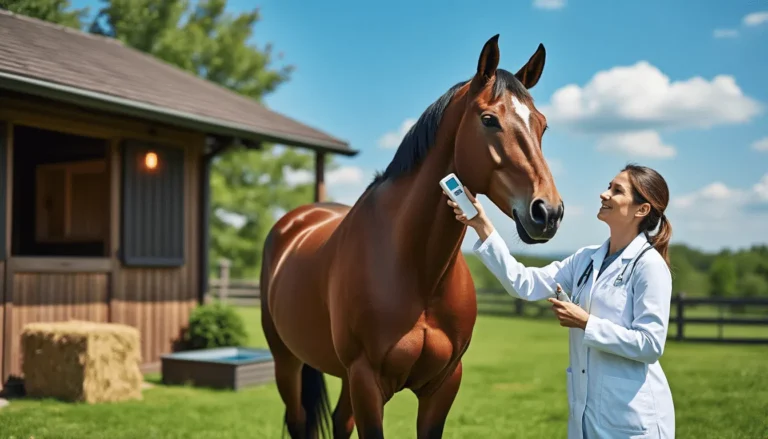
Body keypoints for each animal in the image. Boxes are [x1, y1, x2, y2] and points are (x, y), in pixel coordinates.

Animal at [260, 34, 565, 439]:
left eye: (542, 126)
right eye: (489, 120)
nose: (548, 212)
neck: (417, 270)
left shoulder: (443, 384)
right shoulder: (367, 382)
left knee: (340, 421)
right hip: (287, 361)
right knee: (298, 420)